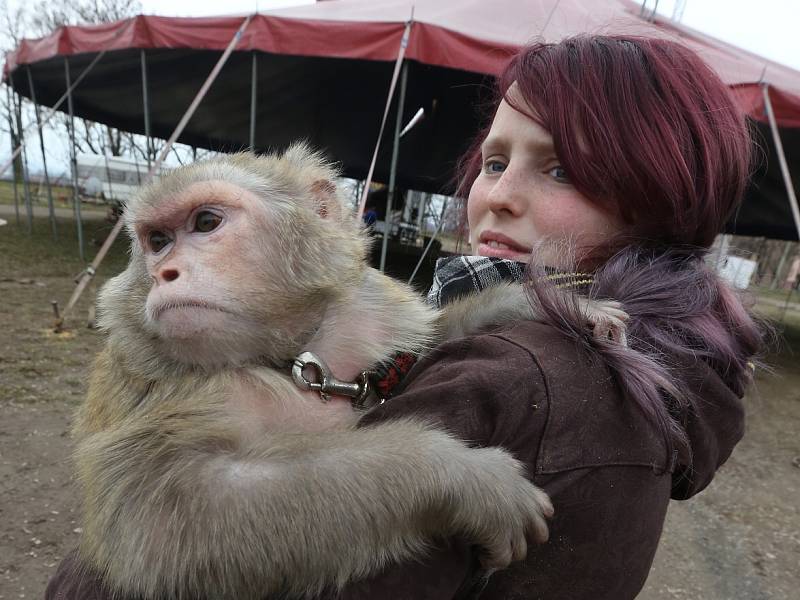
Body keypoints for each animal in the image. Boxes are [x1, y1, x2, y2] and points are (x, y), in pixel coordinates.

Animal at [75, 144, 624, 600]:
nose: (164, 274)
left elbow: (423, 347)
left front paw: (532, 302)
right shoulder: (166, 386)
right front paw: (457, 475)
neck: (300, 358)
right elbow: (167, 522)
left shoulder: (368, 314)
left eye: (206, 221)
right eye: (158, 240)